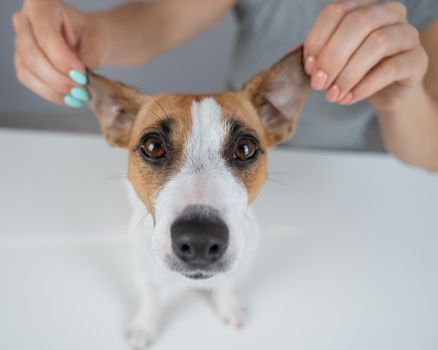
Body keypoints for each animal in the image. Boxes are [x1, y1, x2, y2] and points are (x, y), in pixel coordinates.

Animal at [86, 47, 308, 350]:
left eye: (245, 148)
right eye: (153, 146)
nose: (200, 240)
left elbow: (226, 284)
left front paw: (228, 306)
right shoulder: (145, 272)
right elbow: (150, 297)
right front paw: (145, 324)